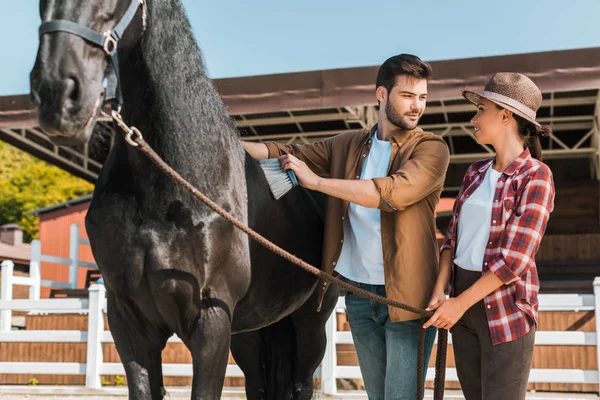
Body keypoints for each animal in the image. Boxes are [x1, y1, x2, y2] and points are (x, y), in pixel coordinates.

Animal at [30, 1, 338, 398]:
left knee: (302, 382)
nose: (56, 94)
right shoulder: (129, 321)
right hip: (251, 331)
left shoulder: (211, 322)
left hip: (309, 324)